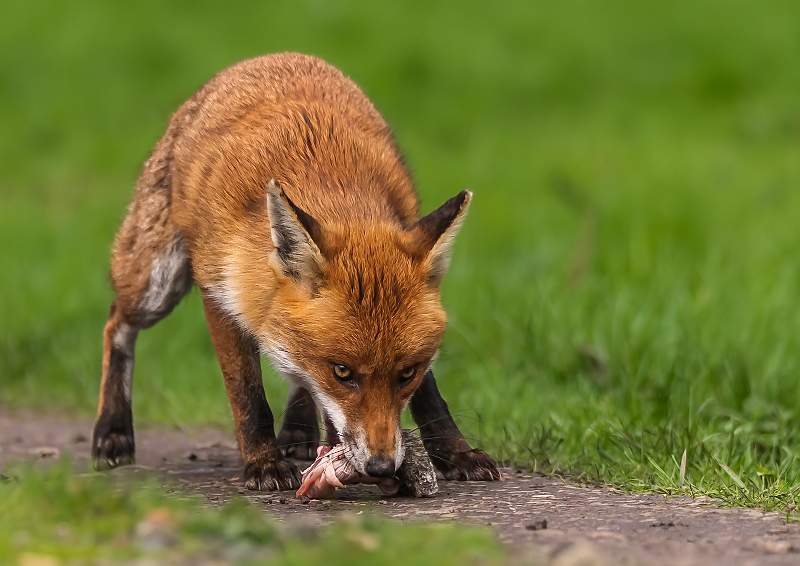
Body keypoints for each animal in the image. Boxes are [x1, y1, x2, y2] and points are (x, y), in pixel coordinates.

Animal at [91, 52, 500, 490]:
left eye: (406, 372)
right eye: (343, 372)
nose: (380, 467)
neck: (332, 184)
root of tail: (268, 58)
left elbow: (430, 395)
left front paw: (456, 453)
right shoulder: (220, 296)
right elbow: (248, 396)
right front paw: (264, 464)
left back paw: (299, 434)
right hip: (156, 282)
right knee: (116, 323)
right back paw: (112, 431)